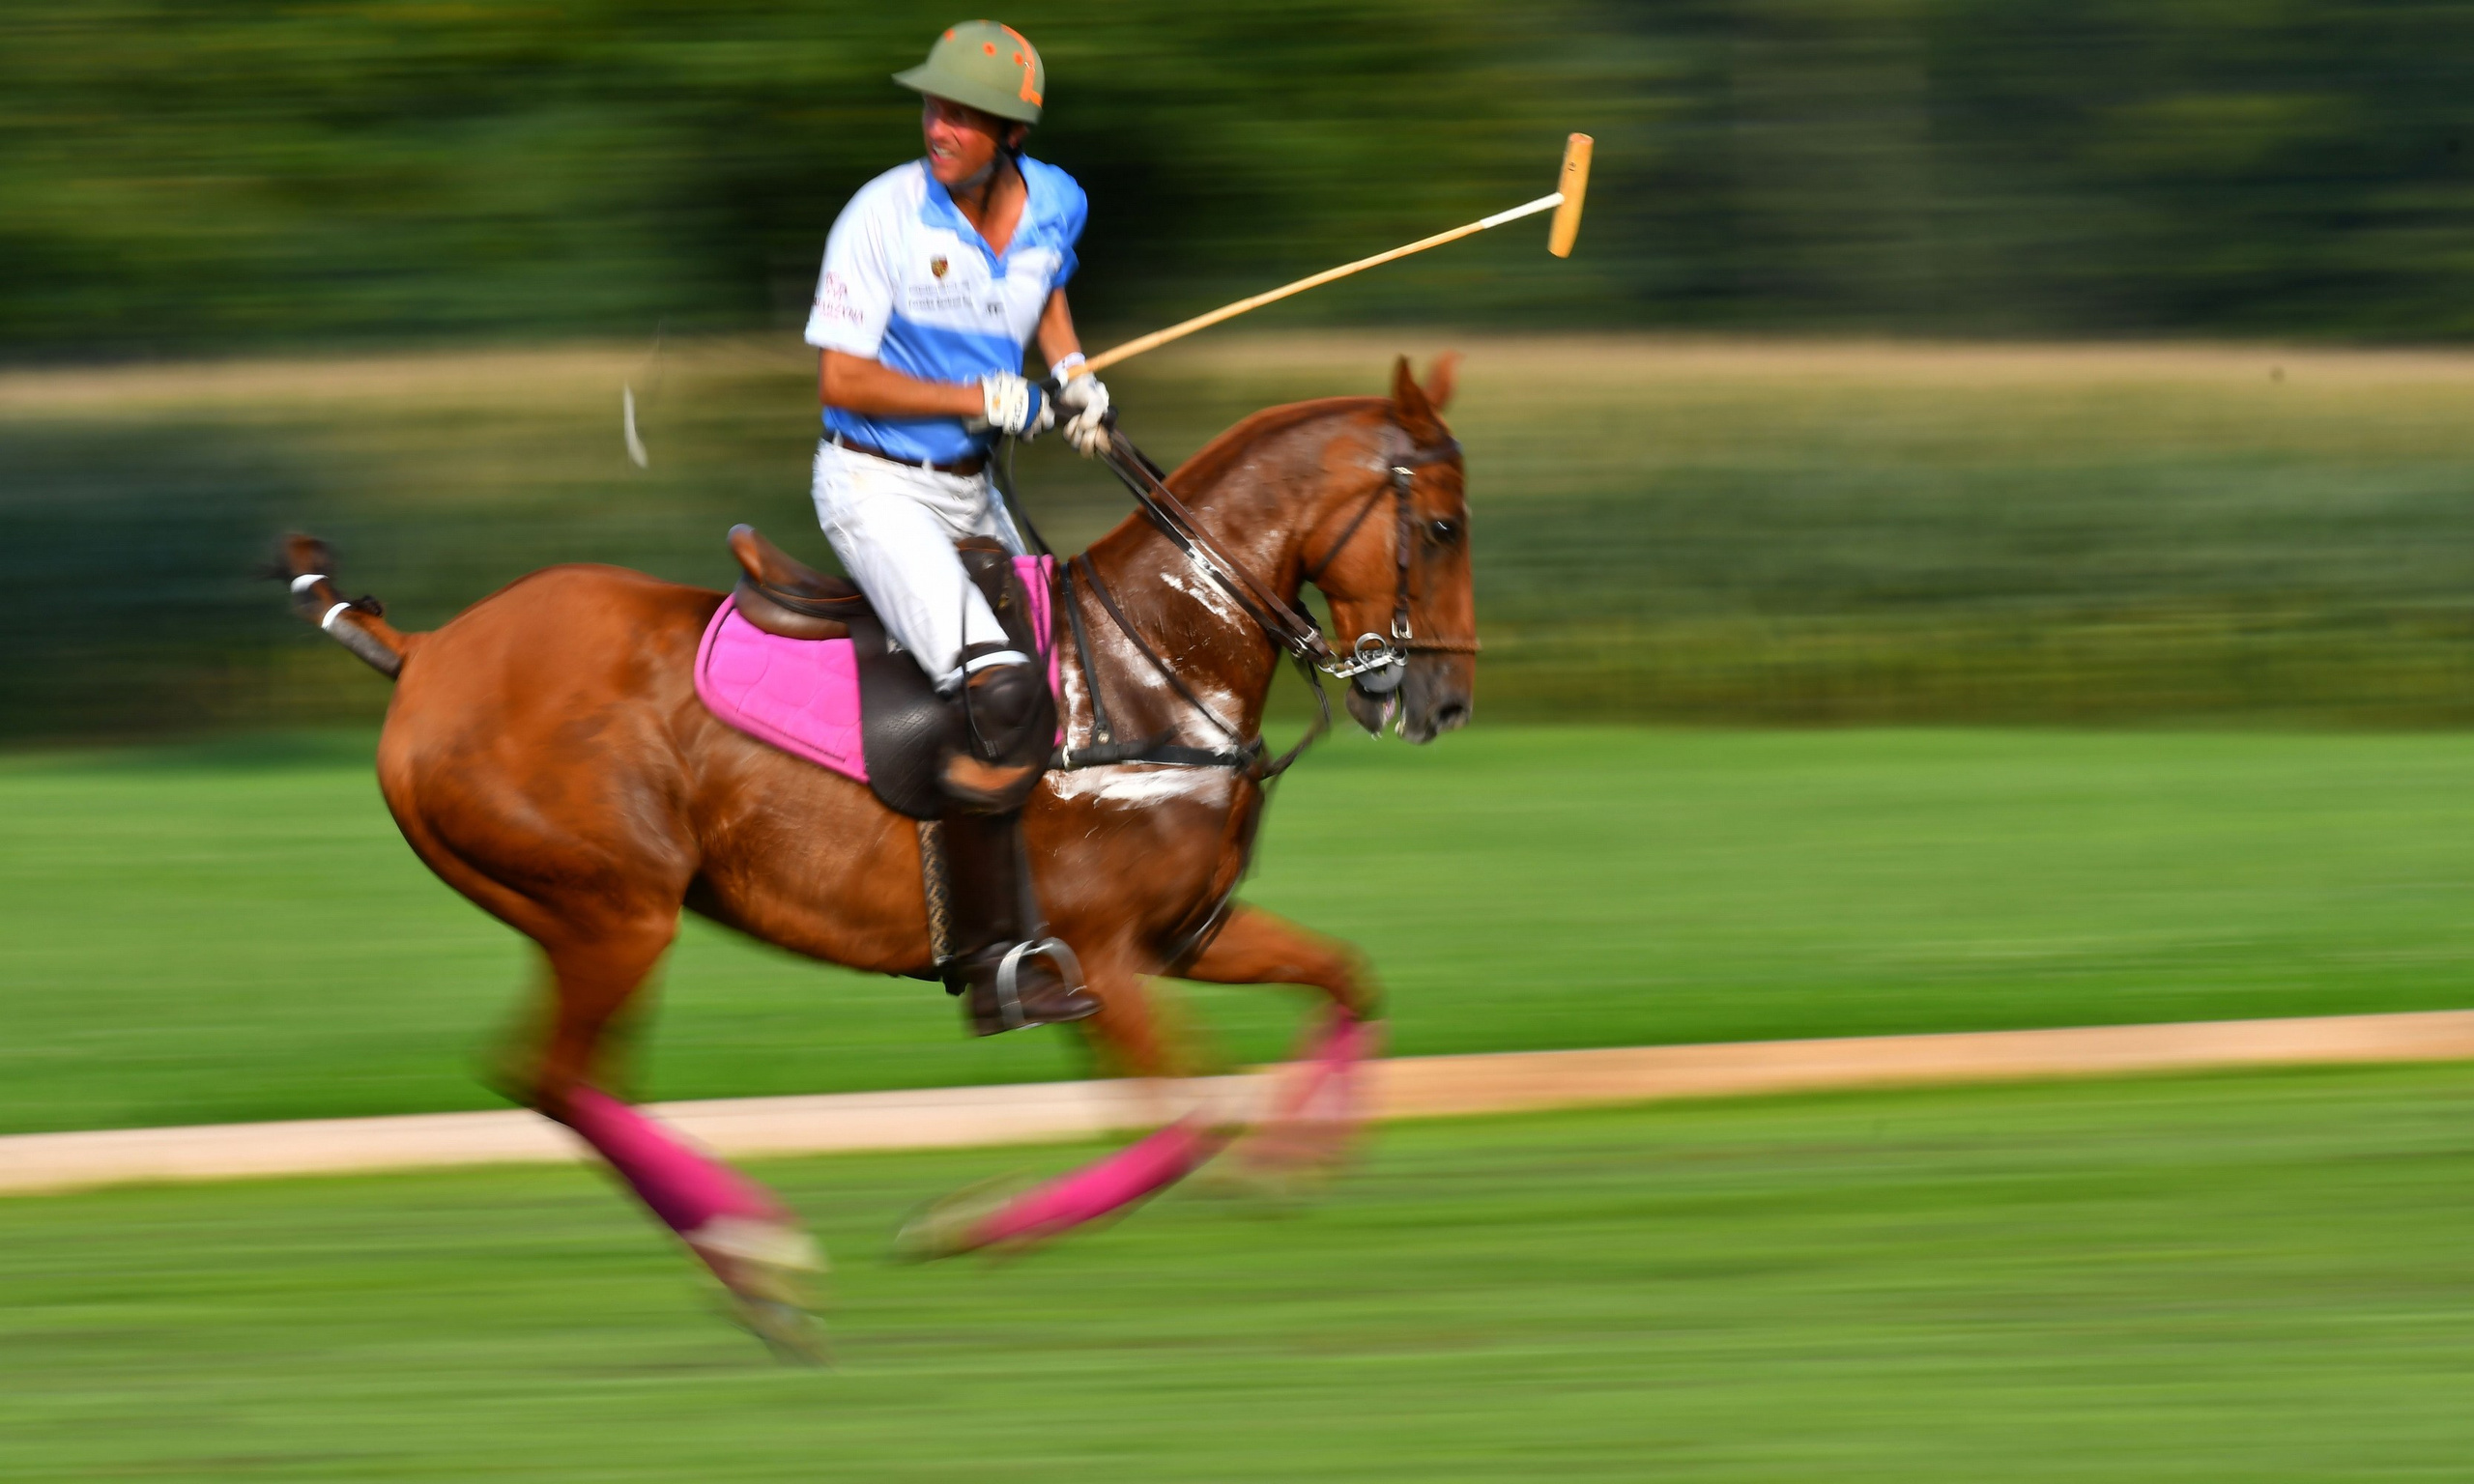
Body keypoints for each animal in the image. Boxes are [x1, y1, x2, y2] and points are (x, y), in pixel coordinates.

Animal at [272, 355, 1475, 1359]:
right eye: (1444, 526)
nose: (1444, 700)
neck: (1155, 665)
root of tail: (427, 653)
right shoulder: (1101, 953)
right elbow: (1185, 1124)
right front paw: (969, 1227)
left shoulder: (1185, 934)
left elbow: (1345, 979)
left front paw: (1293, 1156)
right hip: (613, 908)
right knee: (554, 1075)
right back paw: (761, 1257)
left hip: (575, 910)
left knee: (561, 1080)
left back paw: (751, 1267)